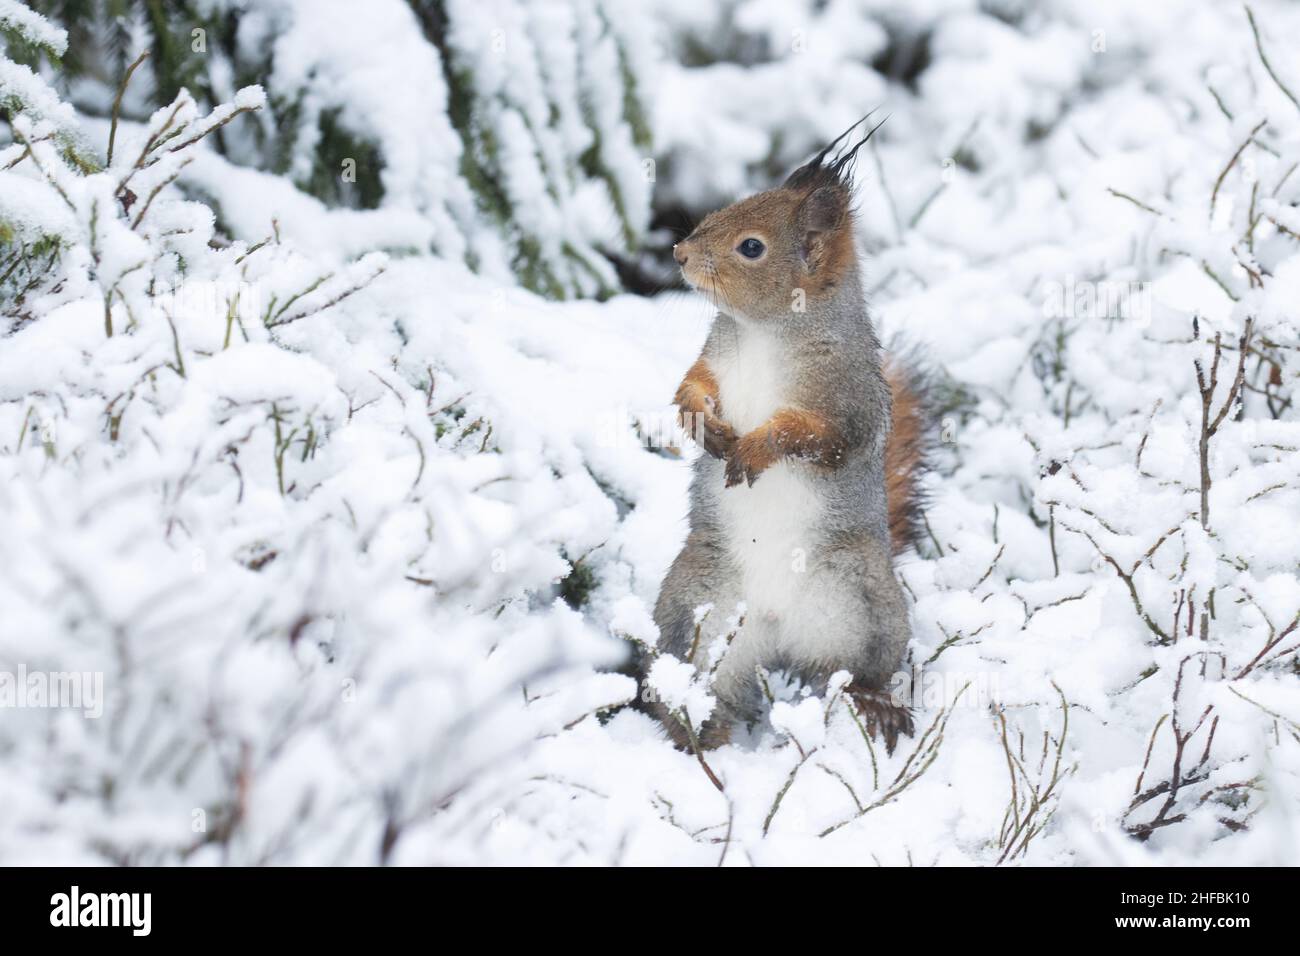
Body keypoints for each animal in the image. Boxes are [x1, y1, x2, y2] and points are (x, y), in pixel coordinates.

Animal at [644, 113, 930, 754]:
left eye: (752, 247)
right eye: (725, 207)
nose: (679, 252)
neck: (763, 332)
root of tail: (776, 630)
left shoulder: (847, 397)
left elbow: (815, 435)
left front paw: (756, 446)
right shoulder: (714, 358)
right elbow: (692, 386)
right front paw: (703, 424)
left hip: (865, 606)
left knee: (855, 673)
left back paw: (874, 704)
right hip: (696, 606)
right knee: (702, 689)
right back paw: (700, 736)